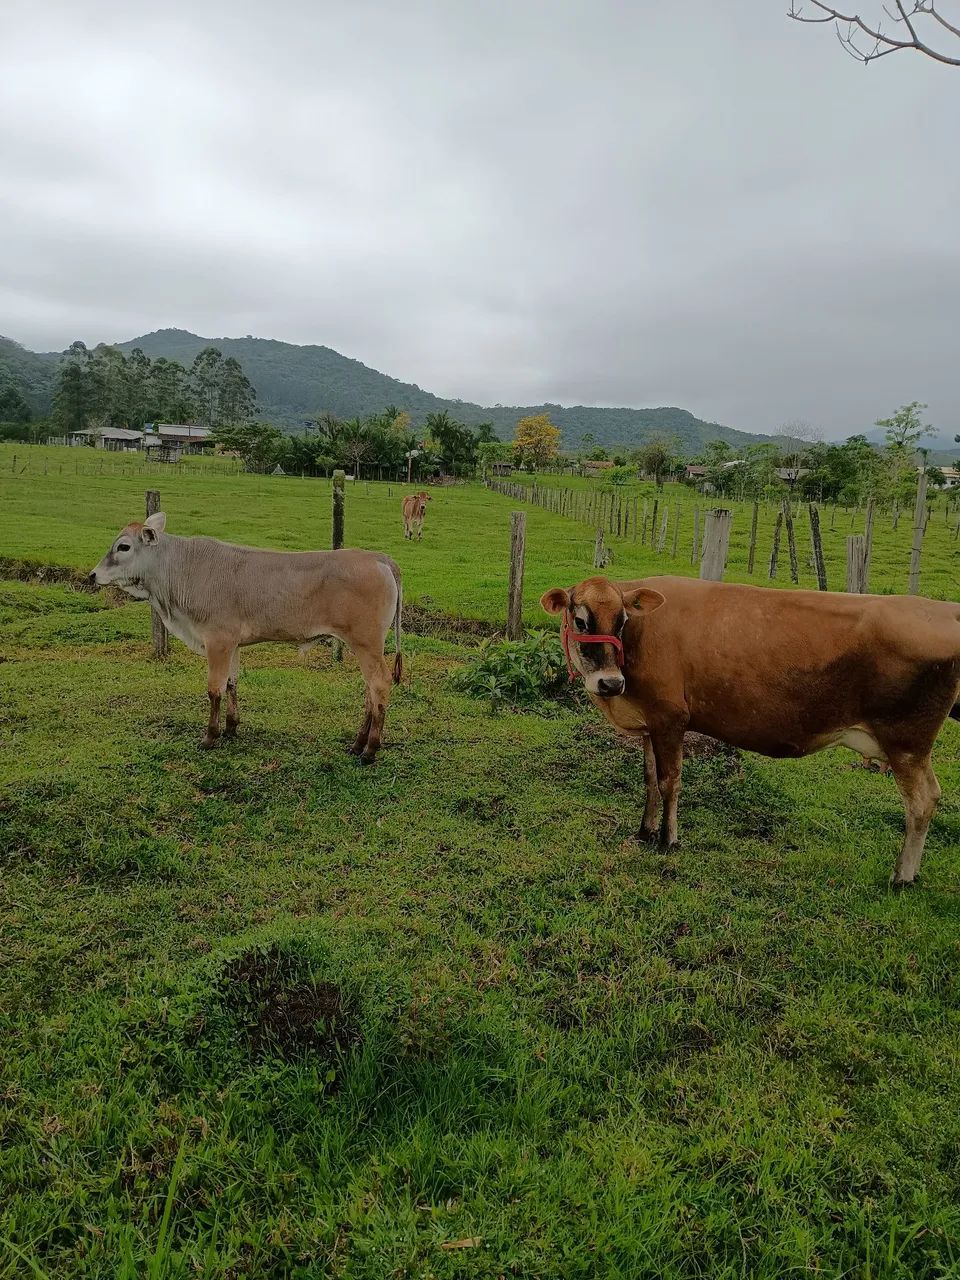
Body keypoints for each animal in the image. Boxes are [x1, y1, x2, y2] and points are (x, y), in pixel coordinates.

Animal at [89, 512, 402, 762]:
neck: (183, 571)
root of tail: (377, 557)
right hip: (364, 645)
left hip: (366, 643)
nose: (92, 575)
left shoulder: (217, 640)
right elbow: (231, 682)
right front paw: (231, 728)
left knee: (379, 684)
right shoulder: (233, 644)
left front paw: (210, 736)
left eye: (123, 546)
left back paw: (370, 750)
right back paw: (357, 743)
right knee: (369, 690)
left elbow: (214, 688)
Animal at [541, 574, 960, 886]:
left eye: (622, 621)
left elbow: (668, 781)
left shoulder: (670, 718)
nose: (610, 683)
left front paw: (668, 839)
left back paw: (903, 875)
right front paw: (644, 830)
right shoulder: (648, 723)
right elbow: (647, 779)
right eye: (581, 621)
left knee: (923, 801)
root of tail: (941, 609)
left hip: (907, 741)